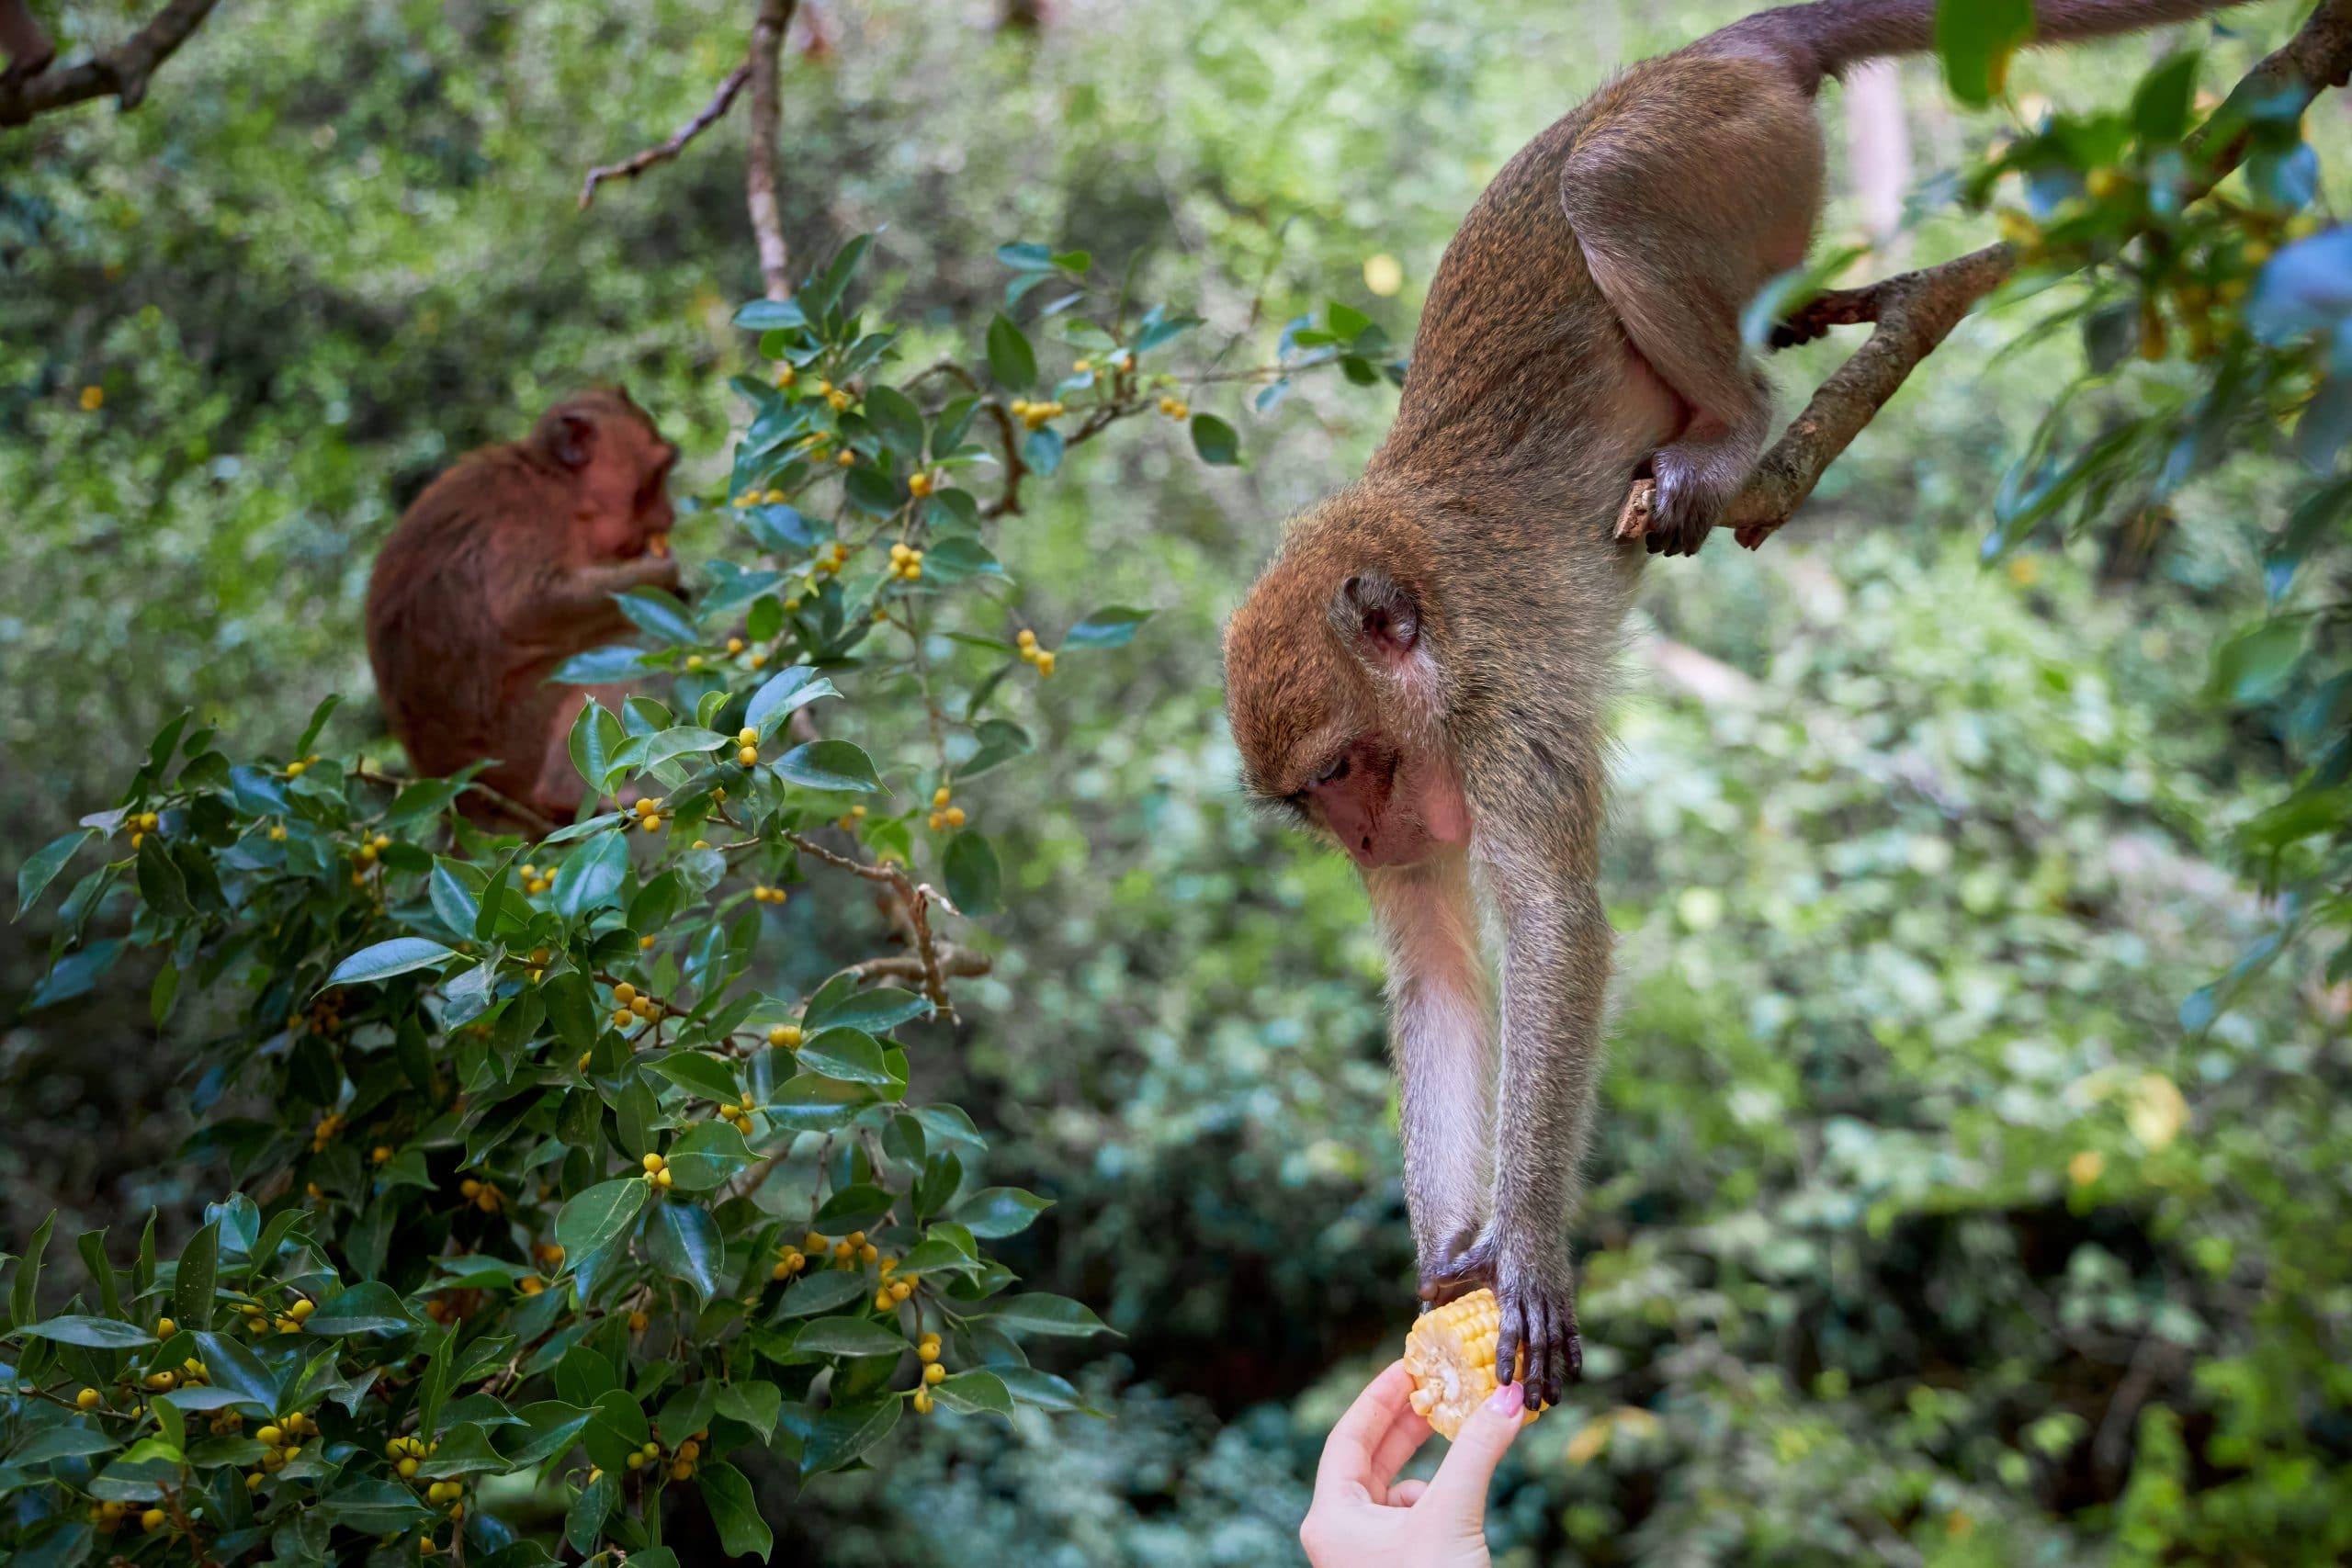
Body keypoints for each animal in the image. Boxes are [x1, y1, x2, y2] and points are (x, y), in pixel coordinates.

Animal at [1223, 0, 2229, 1410]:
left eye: (1341, 770)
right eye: (1317, 802)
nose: (1367, 834)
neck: (1437, 635)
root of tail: (1722, 49)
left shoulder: (1507, 708)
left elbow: (1555, 928)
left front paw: (1527, 1244)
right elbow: (1438, 969)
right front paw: (1454, 1252)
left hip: (1721, 148)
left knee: (1608, 191)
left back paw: (1732, 424)